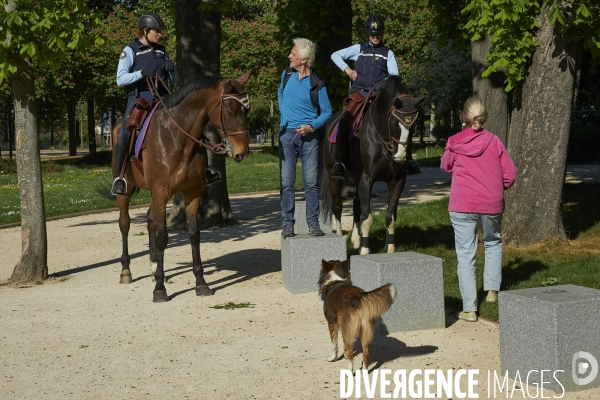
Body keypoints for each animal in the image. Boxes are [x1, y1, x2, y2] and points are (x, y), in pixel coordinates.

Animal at [111, 70, 252, 302]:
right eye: (230, 111)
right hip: (126, 189)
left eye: (246, 111)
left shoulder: (191, 192)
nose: (242, 151)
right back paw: (126, 271)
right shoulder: (161, 192)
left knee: (150, 219)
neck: (177, 138)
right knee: (125, 223)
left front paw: (201, 283)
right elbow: (162, 237)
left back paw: (153, 266)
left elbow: (194, 235)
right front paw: (160, 289)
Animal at [322, 75, 424, 255]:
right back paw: (340, 237)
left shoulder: (397, 181)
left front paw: (389, 248)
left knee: (356, 206)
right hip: (333, 177)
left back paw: (356, 239)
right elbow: (367, 218)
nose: (400, 156)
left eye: (414, 124)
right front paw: (365, 250)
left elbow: (390, 216)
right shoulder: (366, 179)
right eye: (395, 122)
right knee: (337, 206)